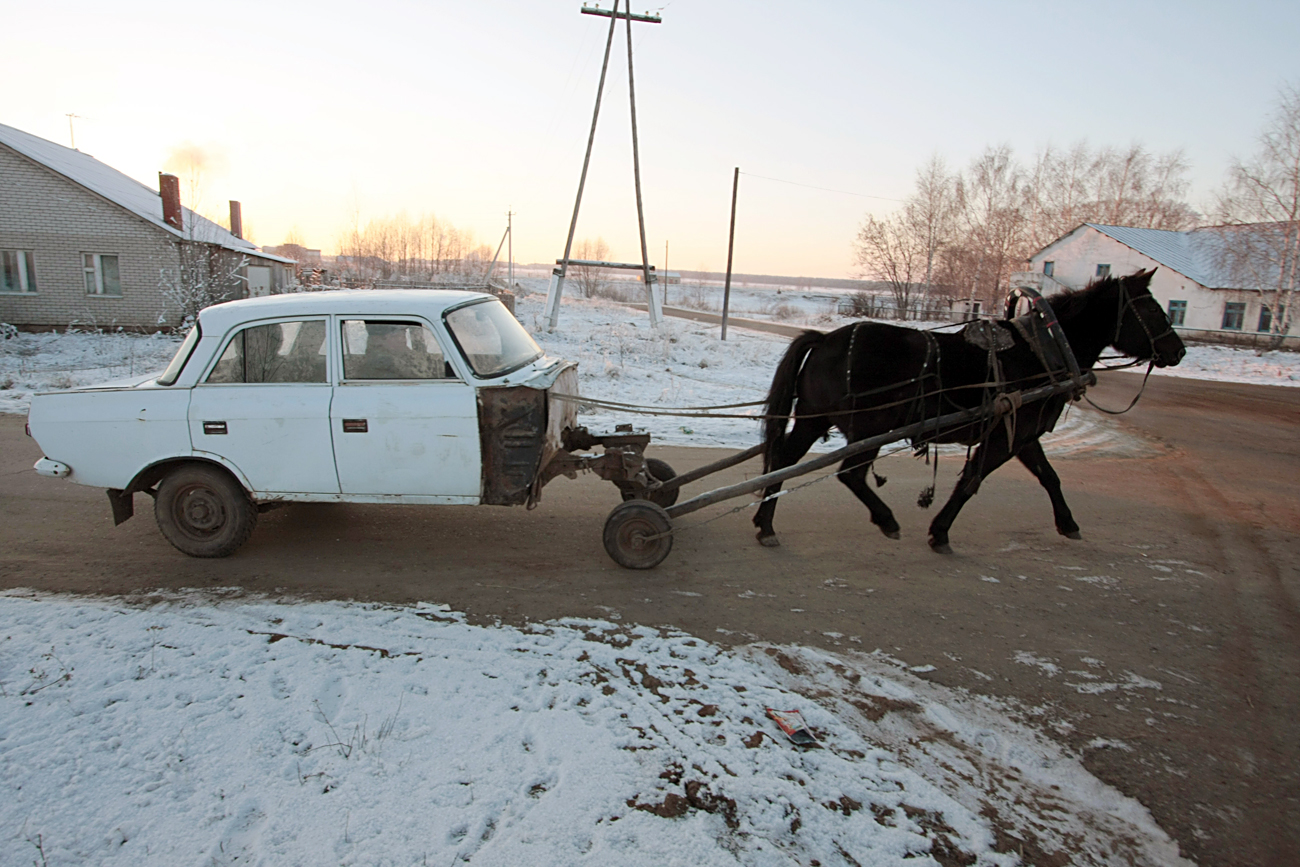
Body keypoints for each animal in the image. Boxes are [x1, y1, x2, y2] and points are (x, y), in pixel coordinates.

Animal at [754, 271, 1190, 553]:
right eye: (1153, 310)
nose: (1179, 350)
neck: (1041, 351)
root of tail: (825, 339)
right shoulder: (1004, 434)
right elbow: (971, 480)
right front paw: (940, 533)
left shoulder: (1023, 434)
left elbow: (1050, 478)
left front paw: (1068, 523)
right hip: (869, 426)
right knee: (851, 474)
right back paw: (887, 520)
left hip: (814, 419)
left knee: (785, 460)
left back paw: (765, 524)